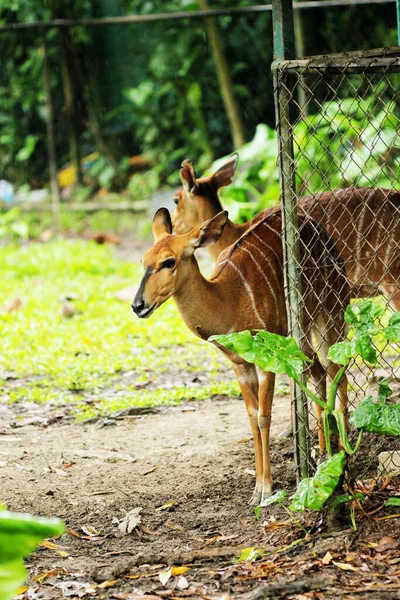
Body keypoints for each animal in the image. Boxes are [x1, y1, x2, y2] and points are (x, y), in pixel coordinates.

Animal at [133, 209, 348, 504]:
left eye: (169, 261)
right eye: (143, 260)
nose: (138, 305)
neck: (229, 301)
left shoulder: (267, 358)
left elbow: (264, 417)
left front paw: (266, 489)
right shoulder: (241, 365)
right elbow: (251, 417)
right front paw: (256, 489)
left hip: (330, 313)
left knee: (337, 368)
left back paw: (344, 450)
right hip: (301, 334)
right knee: (318, 371)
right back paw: (325, 452)